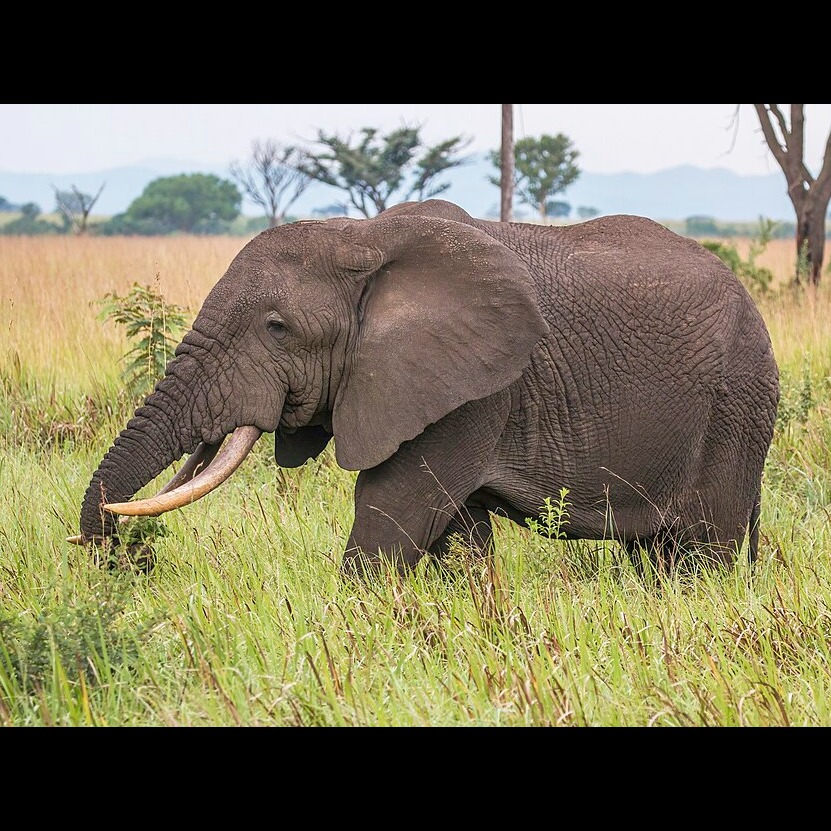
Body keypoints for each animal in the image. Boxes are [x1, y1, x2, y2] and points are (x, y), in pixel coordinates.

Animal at [71, 199, 780, 578]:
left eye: (276, 328)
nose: (120, 555)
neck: (360, 237)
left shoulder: (478, 390)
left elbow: (392, 512)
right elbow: (457, 534)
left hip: (735, 404)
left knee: (700, 553)